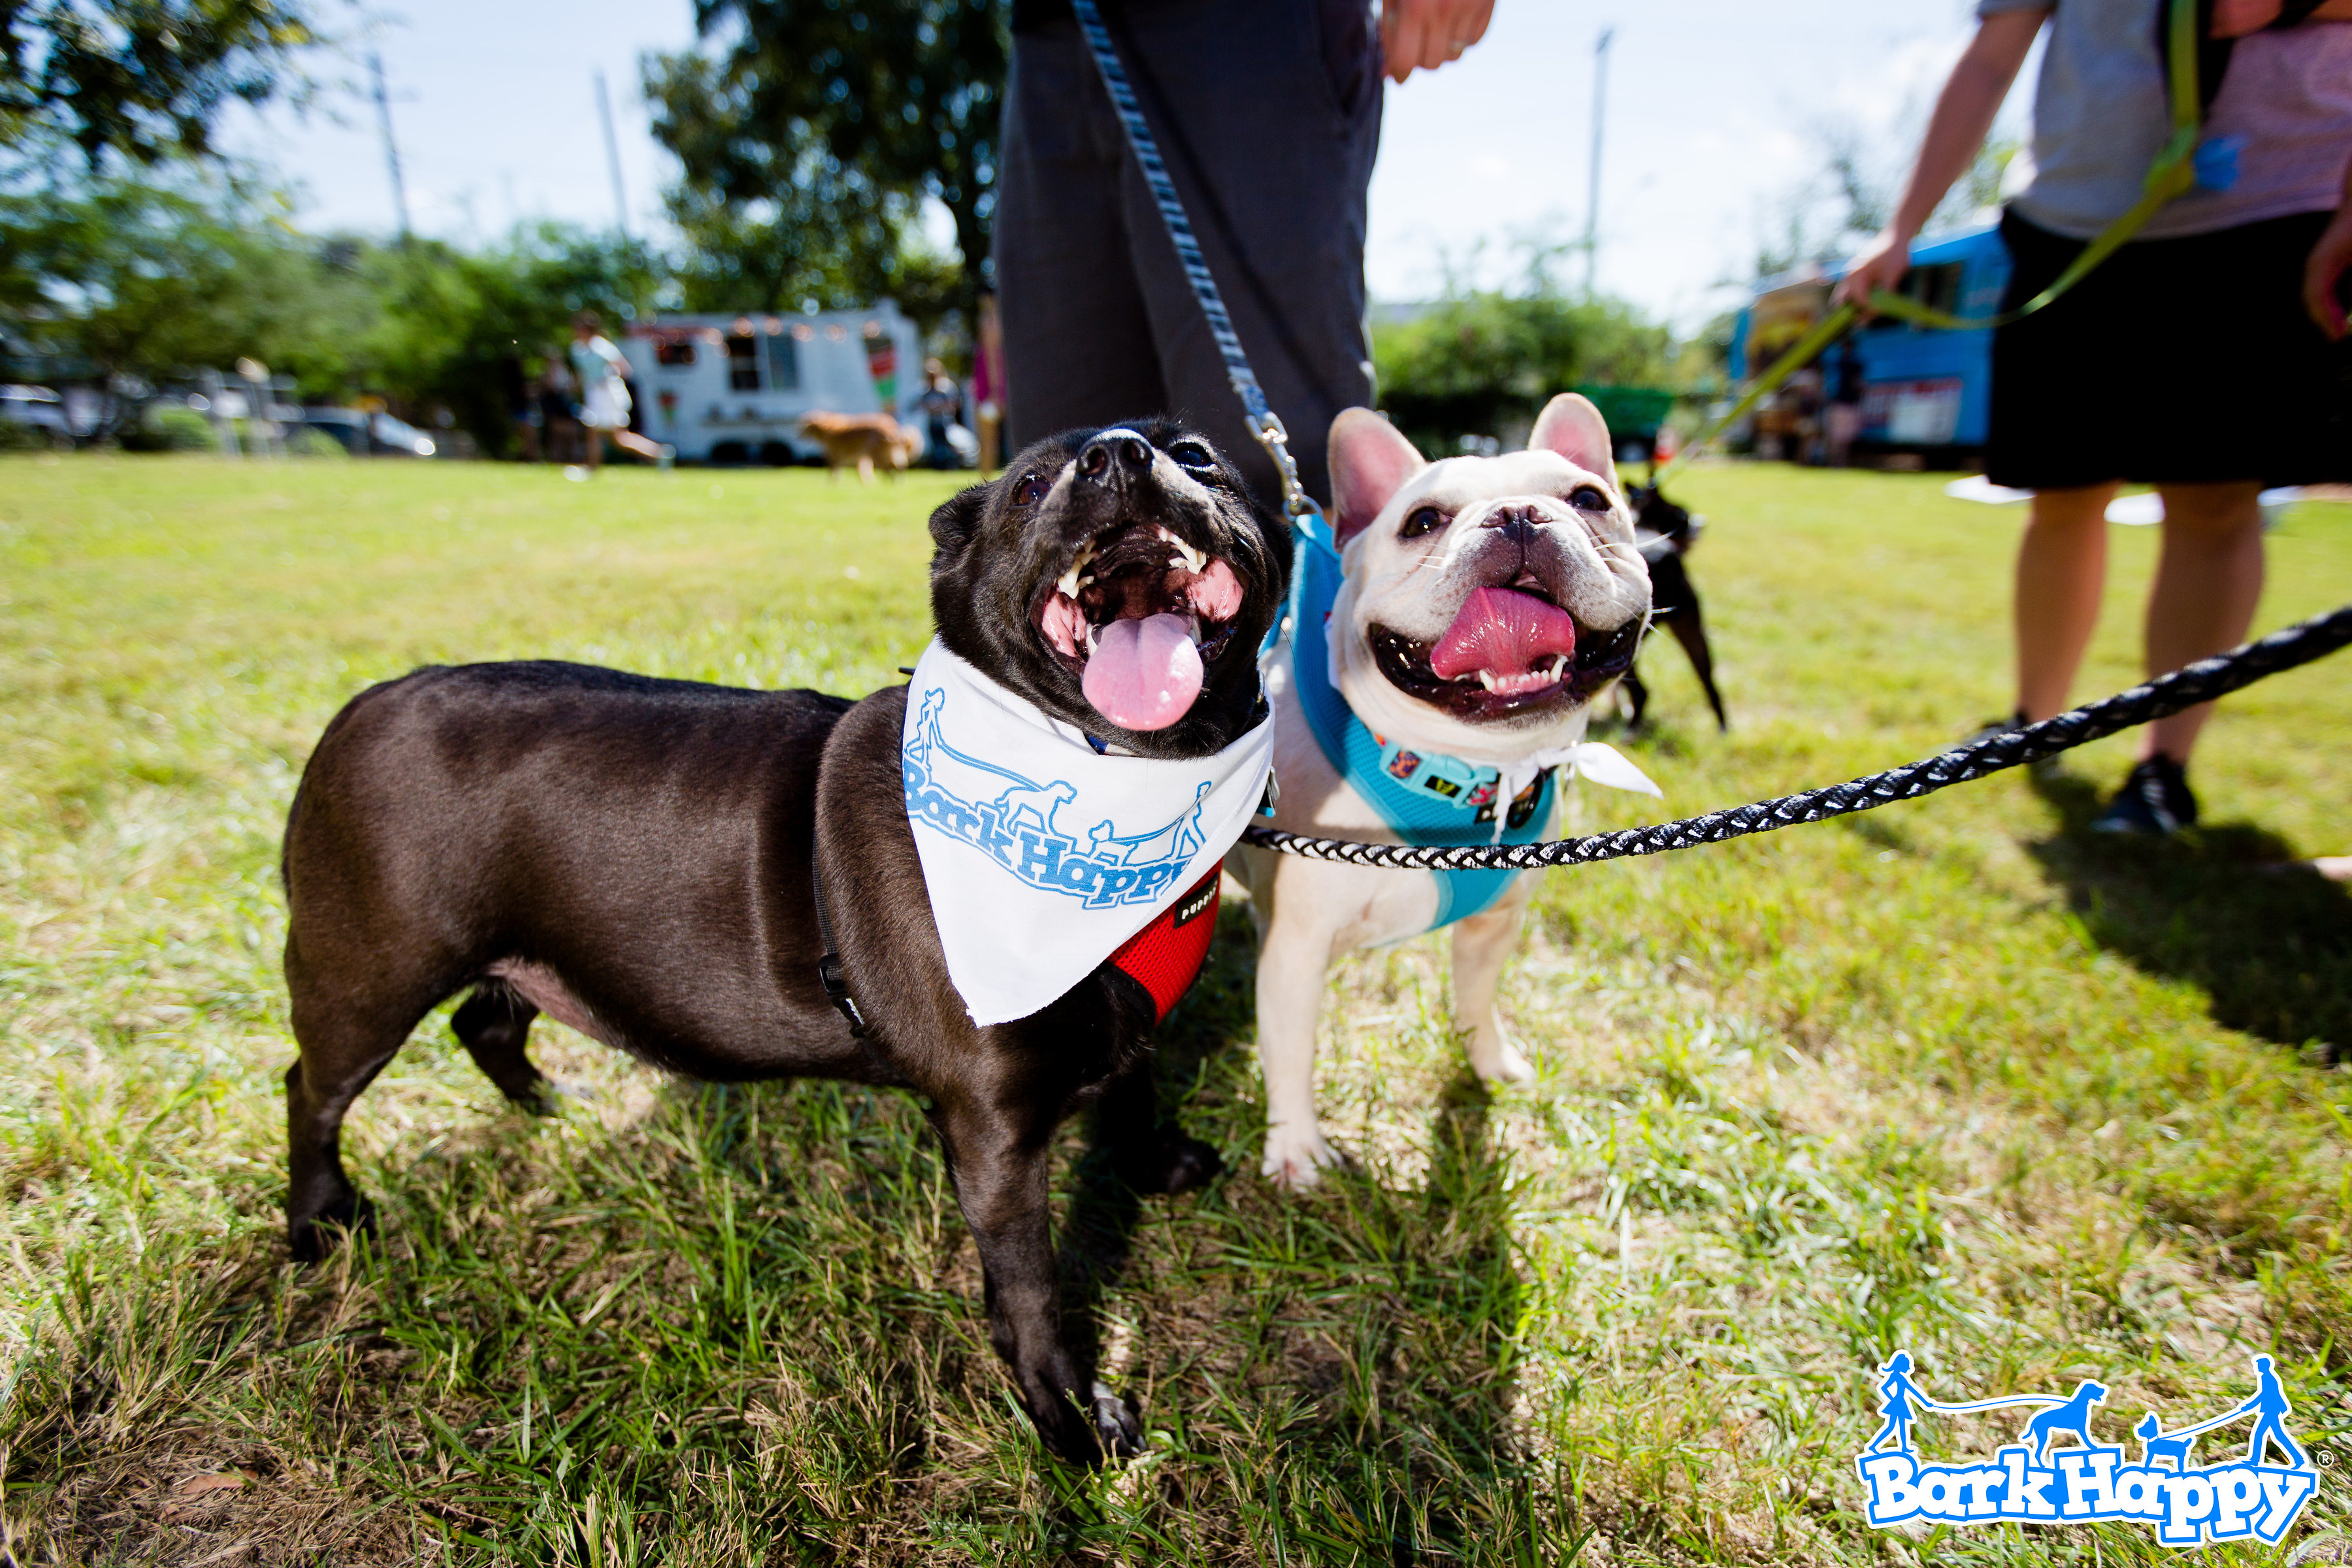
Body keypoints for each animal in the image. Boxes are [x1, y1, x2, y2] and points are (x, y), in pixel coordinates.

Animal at [289, 423, 1307, 1467]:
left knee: (487, 1027)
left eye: (1200, 455)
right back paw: (324, 1218)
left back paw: (553, 1112)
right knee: (313, 1091)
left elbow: (1136, 1088)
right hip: (366, 979)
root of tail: (359, 709)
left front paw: (1154, 1167)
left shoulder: (1130, 1027)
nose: (1120, 453)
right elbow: (1029, 1290)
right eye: (1029, 486)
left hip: (521, 954)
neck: (1122, 774)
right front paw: (1069, 1413)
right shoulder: (992, 1135)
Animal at [804, 409, 922, 482]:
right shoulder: (860, 457)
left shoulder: (836, 456)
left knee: (890, 468)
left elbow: (835, 471)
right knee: (898, 466)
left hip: (879, 454)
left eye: (805, 427)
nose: (800, 435)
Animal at [1618, 482, 1731, 733]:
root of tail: (1667, 552)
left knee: (1643, 692)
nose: (1701, 522)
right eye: (1683, 516)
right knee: (1708, 680)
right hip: (1692, 630)